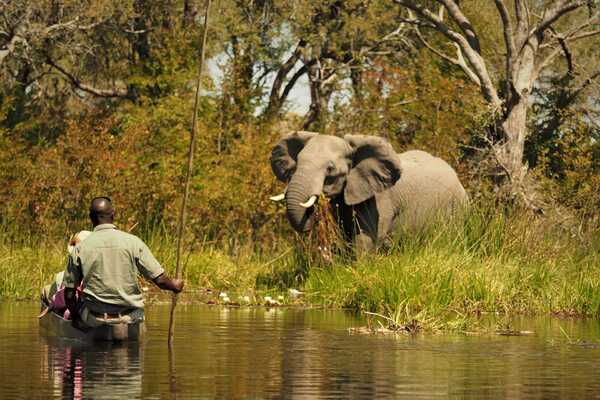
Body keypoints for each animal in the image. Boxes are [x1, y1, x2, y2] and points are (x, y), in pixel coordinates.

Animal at [268, 131, 468, 250]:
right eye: (297, 163)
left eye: (330, 169)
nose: (311, 214)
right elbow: (347, 234)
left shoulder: (380, 198)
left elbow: (365, 238)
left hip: (456, 209)